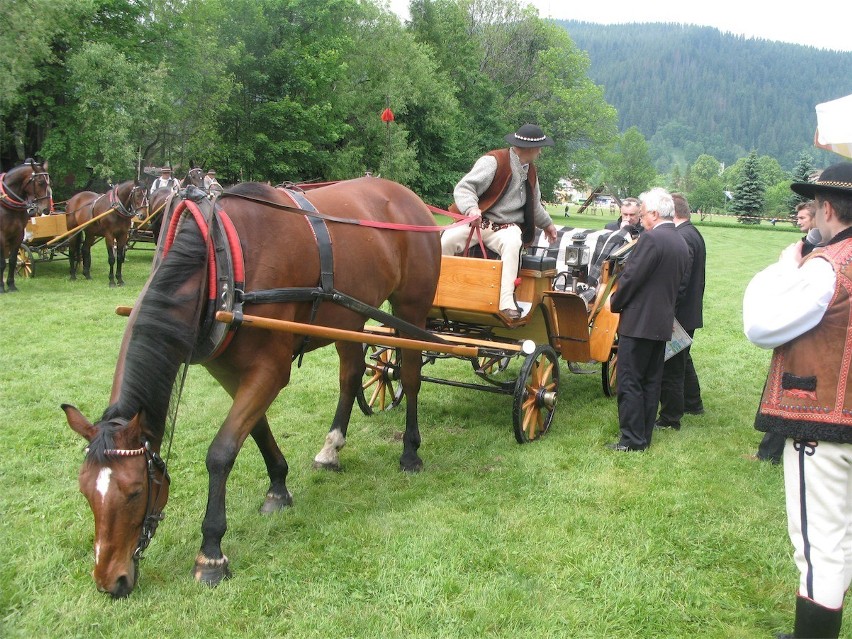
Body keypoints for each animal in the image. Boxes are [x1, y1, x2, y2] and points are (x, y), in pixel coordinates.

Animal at [0, 160, 52, 292]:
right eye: (40, 182)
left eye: (49, 182)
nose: (46, 209)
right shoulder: (1, 236)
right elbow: (2, 262)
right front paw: (2, 287)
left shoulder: (18, 234)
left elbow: (13, 260)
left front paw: (11, 285)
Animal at [63, 178, 442, 596]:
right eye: (85, 491)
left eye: (134, 492)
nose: (109, 580)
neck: (220, 261)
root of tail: (405, 196)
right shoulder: (229, 372)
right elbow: (257, 430)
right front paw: (278, 487)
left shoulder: (271, 370)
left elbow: (221, 452)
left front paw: (211, 553)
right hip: (349, 316)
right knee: (351, 374)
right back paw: (331, 448)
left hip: (411, 308)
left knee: (410, 375)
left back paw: (410, 451)